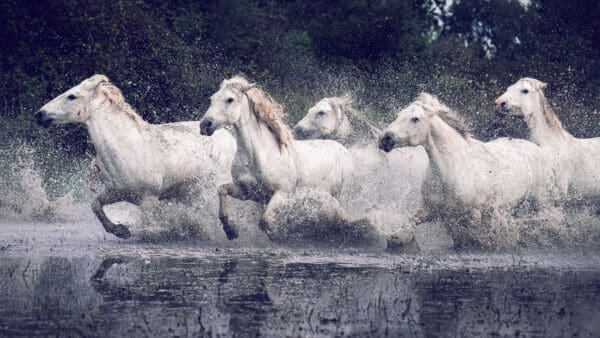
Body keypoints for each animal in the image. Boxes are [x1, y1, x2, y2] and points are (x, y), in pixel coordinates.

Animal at [34, 74, 237, 238]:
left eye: (71, 96)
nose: (39, 114)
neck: (127, 148)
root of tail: (230, 137)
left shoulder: (149, 199)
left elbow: (148, 227)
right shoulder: (116, 192)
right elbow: (95, 205)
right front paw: (120, 230)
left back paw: (230, 230)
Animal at [199, 76, 354, 240]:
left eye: (230, 99)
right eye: (212, 98)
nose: (204, 125)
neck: (261, 157)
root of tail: (343, 149)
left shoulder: (281, 193)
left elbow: (264, 220)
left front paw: (277, 234)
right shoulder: (246, 192)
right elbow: (221, 191)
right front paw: (231, 231)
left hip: (343, 195)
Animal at [378, 92, 556, 246]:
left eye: (415, 119)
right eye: (398, 115)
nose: (385, 139)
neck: (451, 170)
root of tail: (538, 149)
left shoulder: (473, 215)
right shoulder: (429, 211)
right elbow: (408, 223)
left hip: (539, 200)